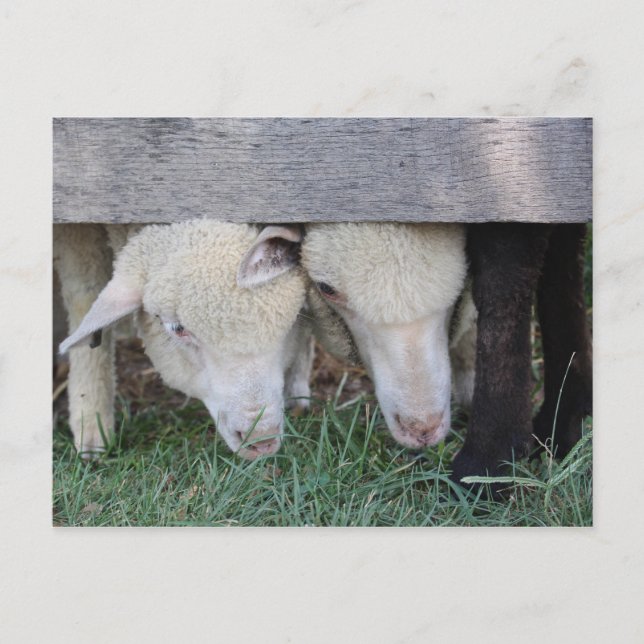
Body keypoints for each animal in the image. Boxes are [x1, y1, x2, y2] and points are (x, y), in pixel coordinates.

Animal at [54, 220, 313, 460]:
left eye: (293, 320)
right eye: (178, 329)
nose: (261, 439)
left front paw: (297, 389)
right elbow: (83, 294)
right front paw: (90, 424)